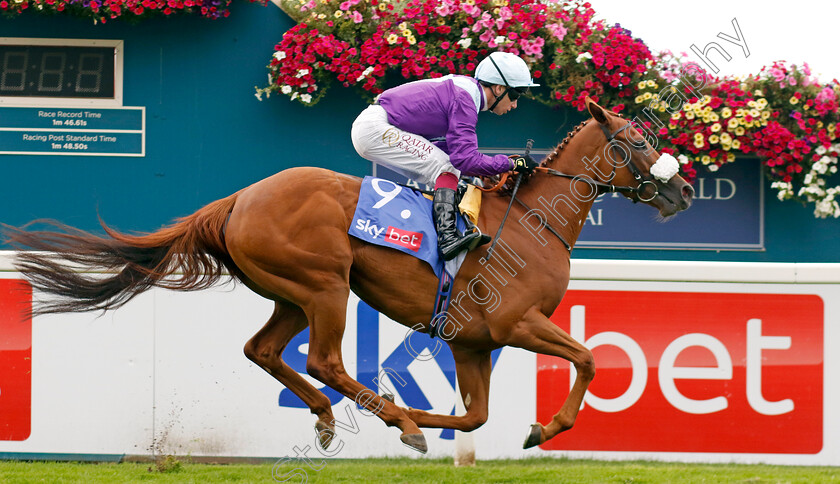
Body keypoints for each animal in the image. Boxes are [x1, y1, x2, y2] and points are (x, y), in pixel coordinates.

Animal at [4, 98, 688, 454]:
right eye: (636, 141)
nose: (682, 190)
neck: (530, 221)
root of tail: (238, 198)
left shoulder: (472, 341)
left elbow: (474, 418)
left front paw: (439, 423)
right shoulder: (516, 321)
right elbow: (590, 358)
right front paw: (545, 427)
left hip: (293, 294)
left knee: (264, 350)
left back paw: (336, 418)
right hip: (326, 285)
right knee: (324, 362)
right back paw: (392, 419)